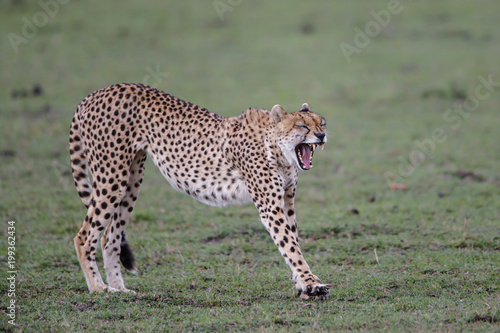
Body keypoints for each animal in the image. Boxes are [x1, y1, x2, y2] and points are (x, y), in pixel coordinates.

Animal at [68, 83, 330, 298]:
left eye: (322, 123)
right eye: (302, 126)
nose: (322, 135)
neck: (277, 148)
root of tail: (95, 93)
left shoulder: (287, 200)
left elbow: (293, 240)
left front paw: (302, 285)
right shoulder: (270, 206)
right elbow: (290, 244)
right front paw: (311, 283)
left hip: (131, 181)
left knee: (110, 236)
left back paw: (120, 289)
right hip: (111, 177)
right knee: (84, 236)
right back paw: (99, 288)